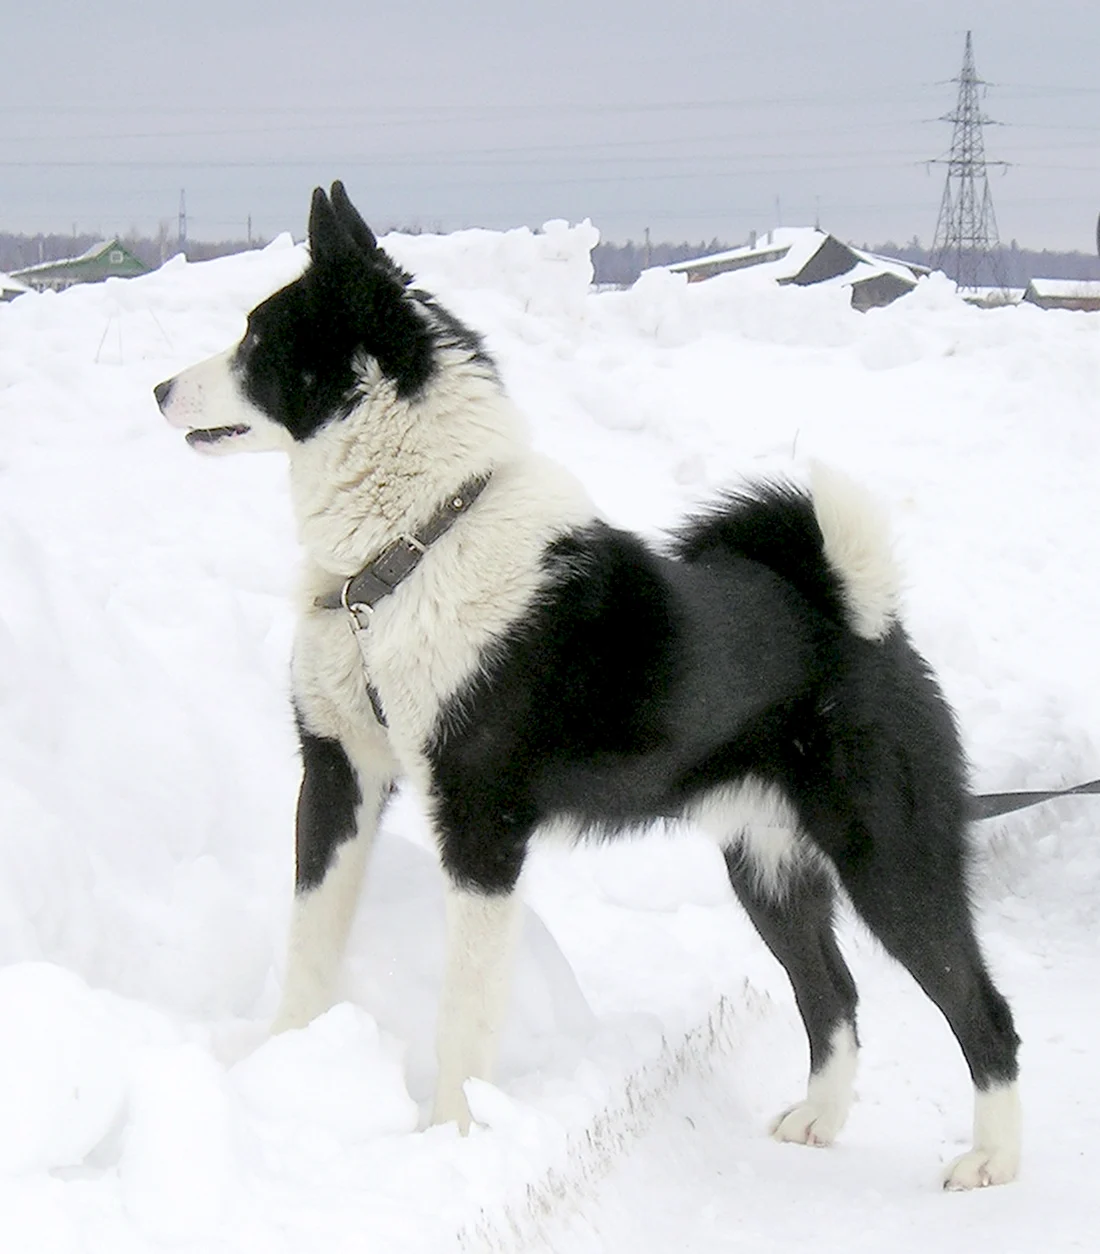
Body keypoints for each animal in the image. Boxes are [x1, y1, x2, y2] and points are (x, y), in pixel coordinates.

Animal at [154, 183, 1023, 1183]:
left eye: (258, 339)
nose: (158, 390)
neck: (410, 549)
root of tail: (856, 613)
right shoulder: (340, 775)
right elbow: (309, 943)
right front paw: (282, 1071)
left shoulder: (482, 828)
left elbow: (466, 1010)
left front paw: (452, 1136)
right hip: (764, 864)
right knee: (832, 991)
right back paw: (820, 1119)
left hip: (890, 860)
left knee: (982, 1010)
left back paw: (993, 1162)